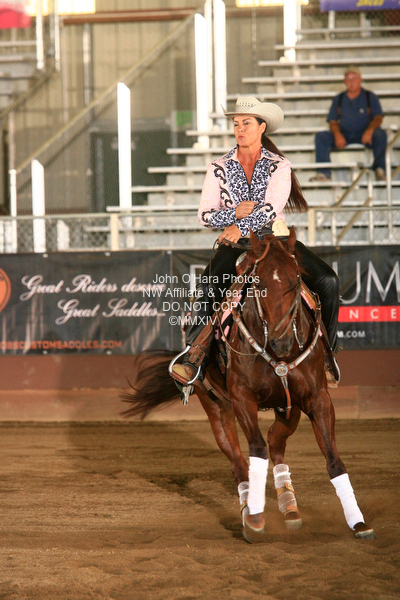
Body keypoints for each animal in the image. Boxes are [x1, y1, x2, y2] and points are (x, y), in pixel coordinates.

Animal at [121, 227, 376, 543]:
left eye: (296, 280)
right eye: (257, 283)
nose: (282, 341)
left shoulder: (318, 398)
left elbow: (333, 459)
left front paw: (358, 522)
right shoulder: (243, 398)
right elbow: (256, 450)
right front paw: (255, 520)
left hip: (288, 406)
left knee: (276, 442)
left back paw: (289, 506)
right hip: (216, 407)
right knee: (239, 461)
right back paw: (248, 508)